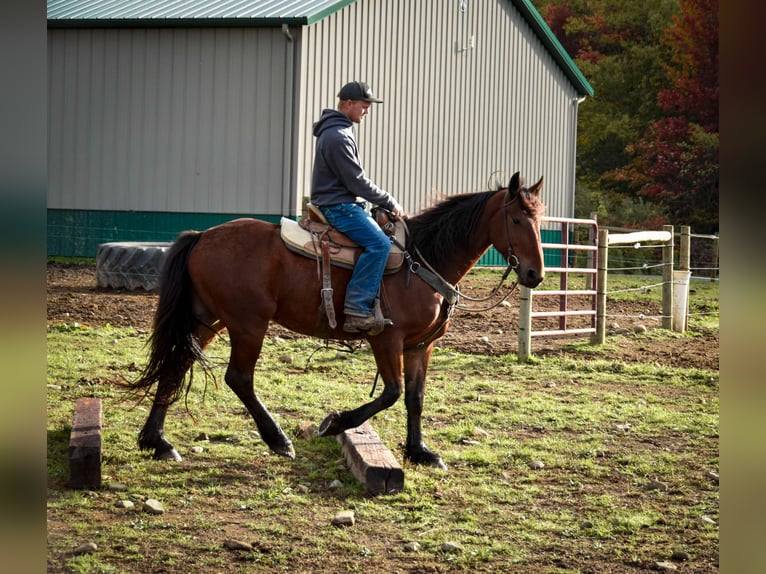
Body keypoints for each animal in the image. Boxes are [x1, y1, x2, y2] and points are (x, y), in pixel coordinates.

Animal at [130, 172, 545, 470]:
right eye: (515, 219)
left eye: (539, 219)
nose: (535, 274)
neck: (423, 258)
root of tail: (202, 235)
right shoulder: (386, 340)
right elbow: (391, 393)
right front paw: (334, 423)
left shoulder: (420, 346)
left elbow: (415, 398)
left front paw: (420, 452)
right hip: (247, 324)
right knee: (239, 378)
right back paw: (278, 440)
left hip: (208, 319)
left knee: (176, 364)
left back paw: (157, 442)